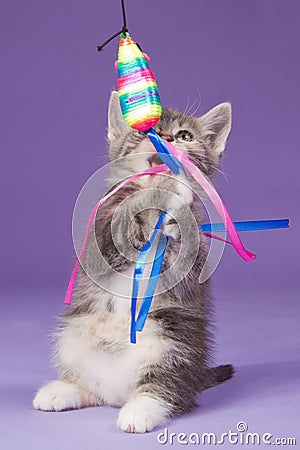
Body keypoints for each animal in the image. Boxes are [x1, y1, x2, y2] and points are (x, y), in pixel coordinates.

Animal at [33, 90, 234, 432]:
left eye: (185, 135)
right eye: (144, 132)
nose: (165, 138)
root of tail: (119, 393)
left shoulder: (193, 257)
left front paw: (173, 188)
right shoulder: (97, 239)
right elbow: (115, 232)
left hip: (177, 341)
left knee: (169, 385)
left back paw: (142, 409)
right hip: (72, 336)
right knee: (91, 389)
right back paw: (63, 390)